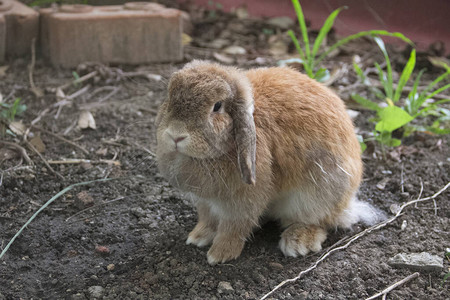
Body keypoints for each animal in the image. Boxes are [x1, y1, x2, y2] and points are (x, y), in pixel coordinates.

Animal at [156, 59, 384, 264]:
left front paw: (219, 254)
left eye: (217, 106)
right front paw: (198, 237)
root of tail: (348, 205)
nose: (175, 135)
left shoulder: (243, 202)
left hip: (318, 195)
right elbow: (208, 217)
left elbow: (233, 228)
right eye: (169, 96)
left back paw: (298, 242)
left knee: (322, 222)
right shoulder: (205, 202)